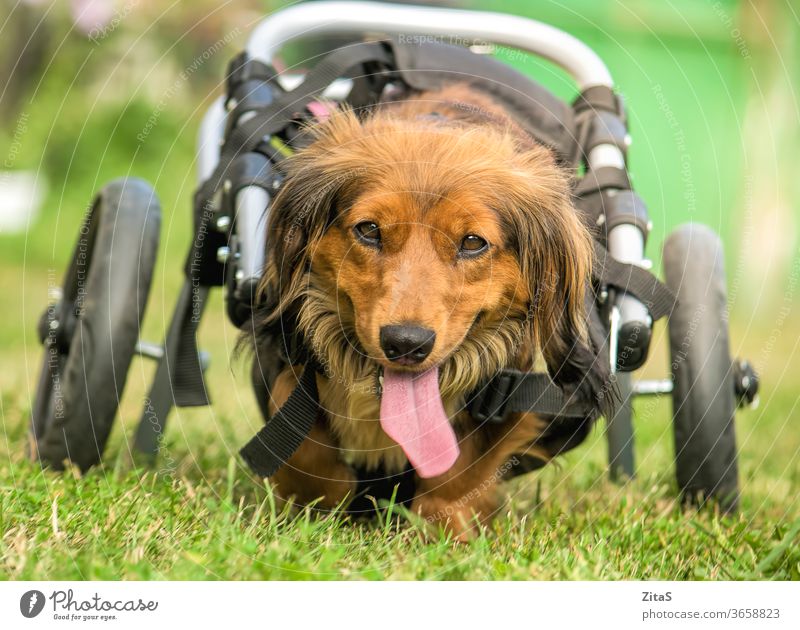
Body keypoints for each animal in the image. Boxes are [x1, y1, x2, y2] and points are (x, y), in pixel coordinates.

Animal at [253, 81, 608, 540]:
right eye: (369, 230)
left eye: (473, 242)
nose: (406, 344)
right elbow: (296, 431)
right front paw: (318, 504)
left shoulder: (507, 388)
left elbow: (457, 470)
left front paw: (442, 531)